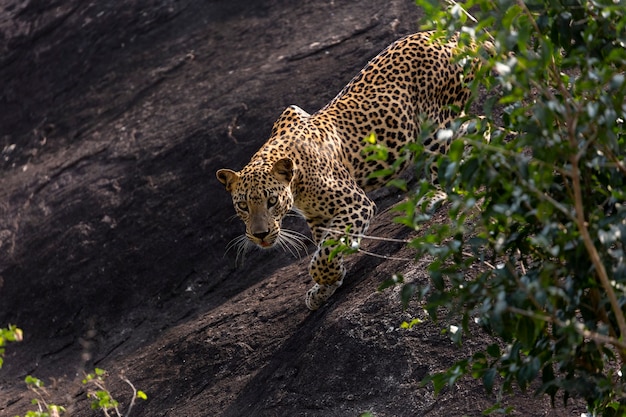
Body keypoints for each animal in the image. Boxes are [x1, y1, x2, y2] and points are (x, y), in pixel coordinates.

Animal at [214, 31, 472, 308]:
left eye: (272, 201)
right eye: (243, 206)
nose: (260, 235)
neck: (296, 183)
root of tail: (456, 34)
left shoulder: (355, 204)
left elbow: (328, 249)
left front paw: (325, 278)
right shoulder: (318, 216)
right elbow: (326, 245)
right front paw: (326, 287)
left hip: (436, 127)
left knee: (447, 160)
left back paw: (434, 196)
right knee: (480, 128)